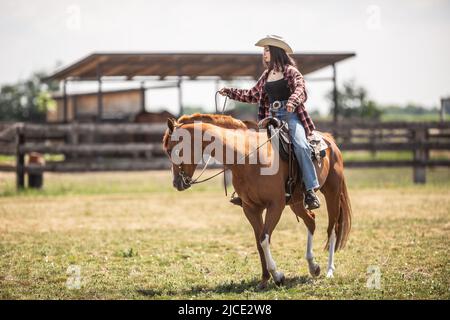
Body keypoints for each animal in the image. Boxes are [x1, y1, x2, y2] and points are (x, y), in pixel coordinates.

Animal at [162, 114, 352, 288]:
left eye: (173, 150)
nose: (176, 183)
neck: (247, 156)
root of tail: (329, 139)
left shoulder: (275, 206)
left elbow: (264, 238)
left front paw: (277, 275)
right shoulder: (251, 208)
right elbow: (259, 242)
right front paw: (265, 279)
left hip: (332, 193)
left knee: (332, 230)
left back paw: (329, 271)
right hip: (297, 202)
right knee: (311, 221)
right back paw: (314, 267)